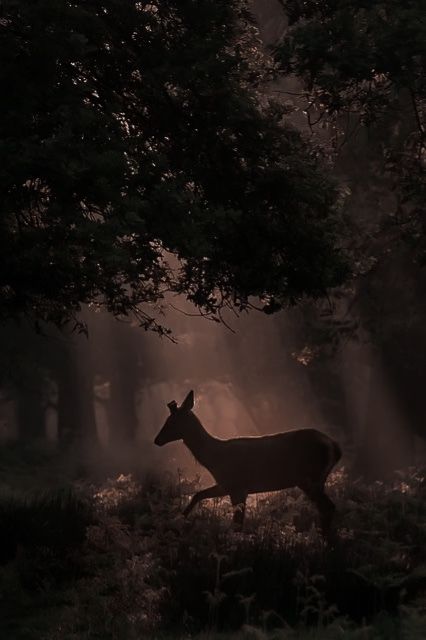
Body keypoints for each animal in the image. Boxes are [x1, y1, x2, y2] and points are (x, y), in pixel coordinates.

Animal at [155, 390, 342, 536]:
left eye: (171, 422)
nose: (157, 440)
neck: (215, 457)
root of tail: (334, 445)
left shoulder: (238, 486)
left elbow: (238, 525)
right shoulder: (226, 485)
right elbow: (198, 494)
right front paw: (176, 522)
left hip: (311, 478)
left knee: (328, 507)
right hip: (312, 480)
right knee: (327, 508)